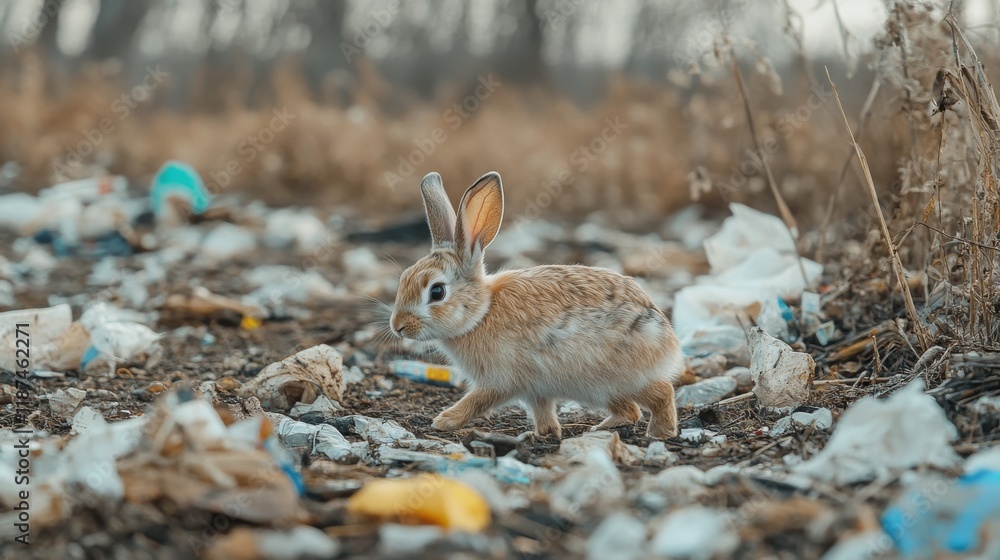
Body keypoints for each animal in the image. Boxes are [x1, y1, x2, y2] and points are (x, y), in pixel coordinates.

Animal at [389, 171, 682, 439]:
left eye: (437, 292)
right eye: (403, 279)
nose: (398, 327)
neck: (481, 314)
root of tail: (667, 339)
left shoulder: (500, 380)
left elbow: (477, 401)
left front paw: (444, 420)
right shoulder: (536, 390)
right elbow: (543, 411)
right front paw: (544, 433)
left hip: (621, 379)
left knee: (662, 393)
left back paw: (660, 433)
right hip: (602, 388)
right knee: (630, 410)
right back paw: (604, 426)